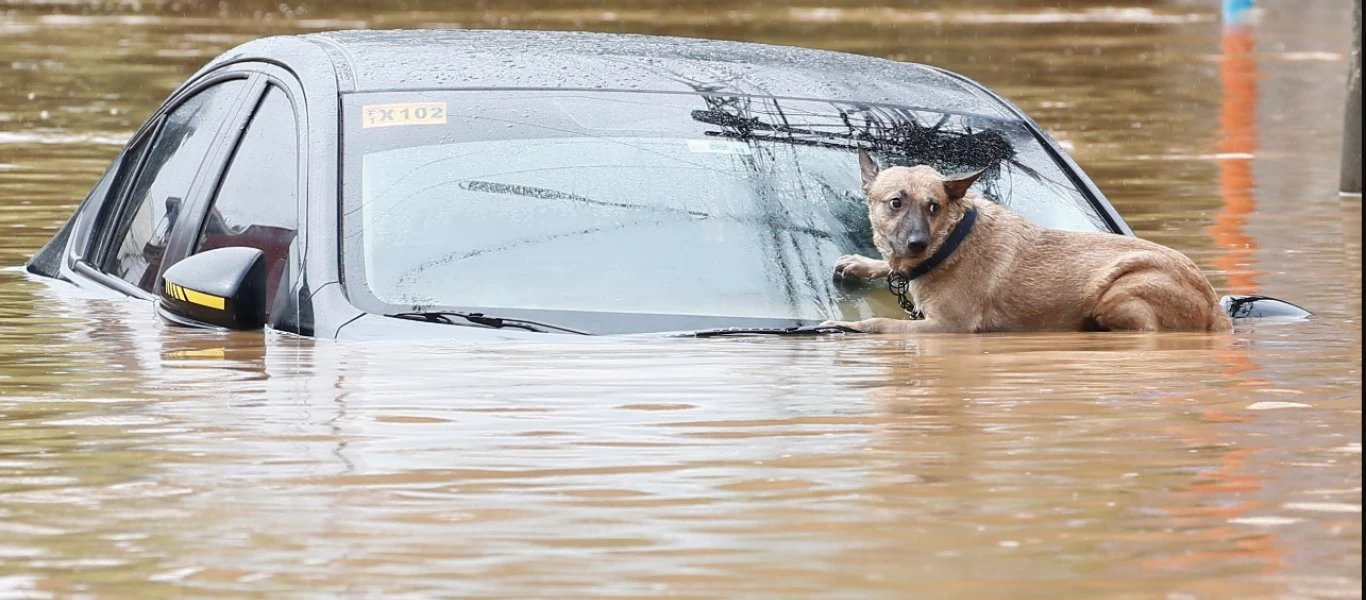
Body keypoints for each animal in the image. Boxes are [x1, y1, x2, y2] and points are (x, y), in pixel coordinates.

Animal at [819, 150, 1240, 336]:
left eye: (933, 206)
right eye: (896, 202)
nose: (918, 244)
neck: (951, 242)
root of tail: (1212, 305)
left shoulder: (948, 327)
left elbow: (879, 323)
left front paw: (845, 325)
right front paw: (862, 262)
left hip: (1118, 292)